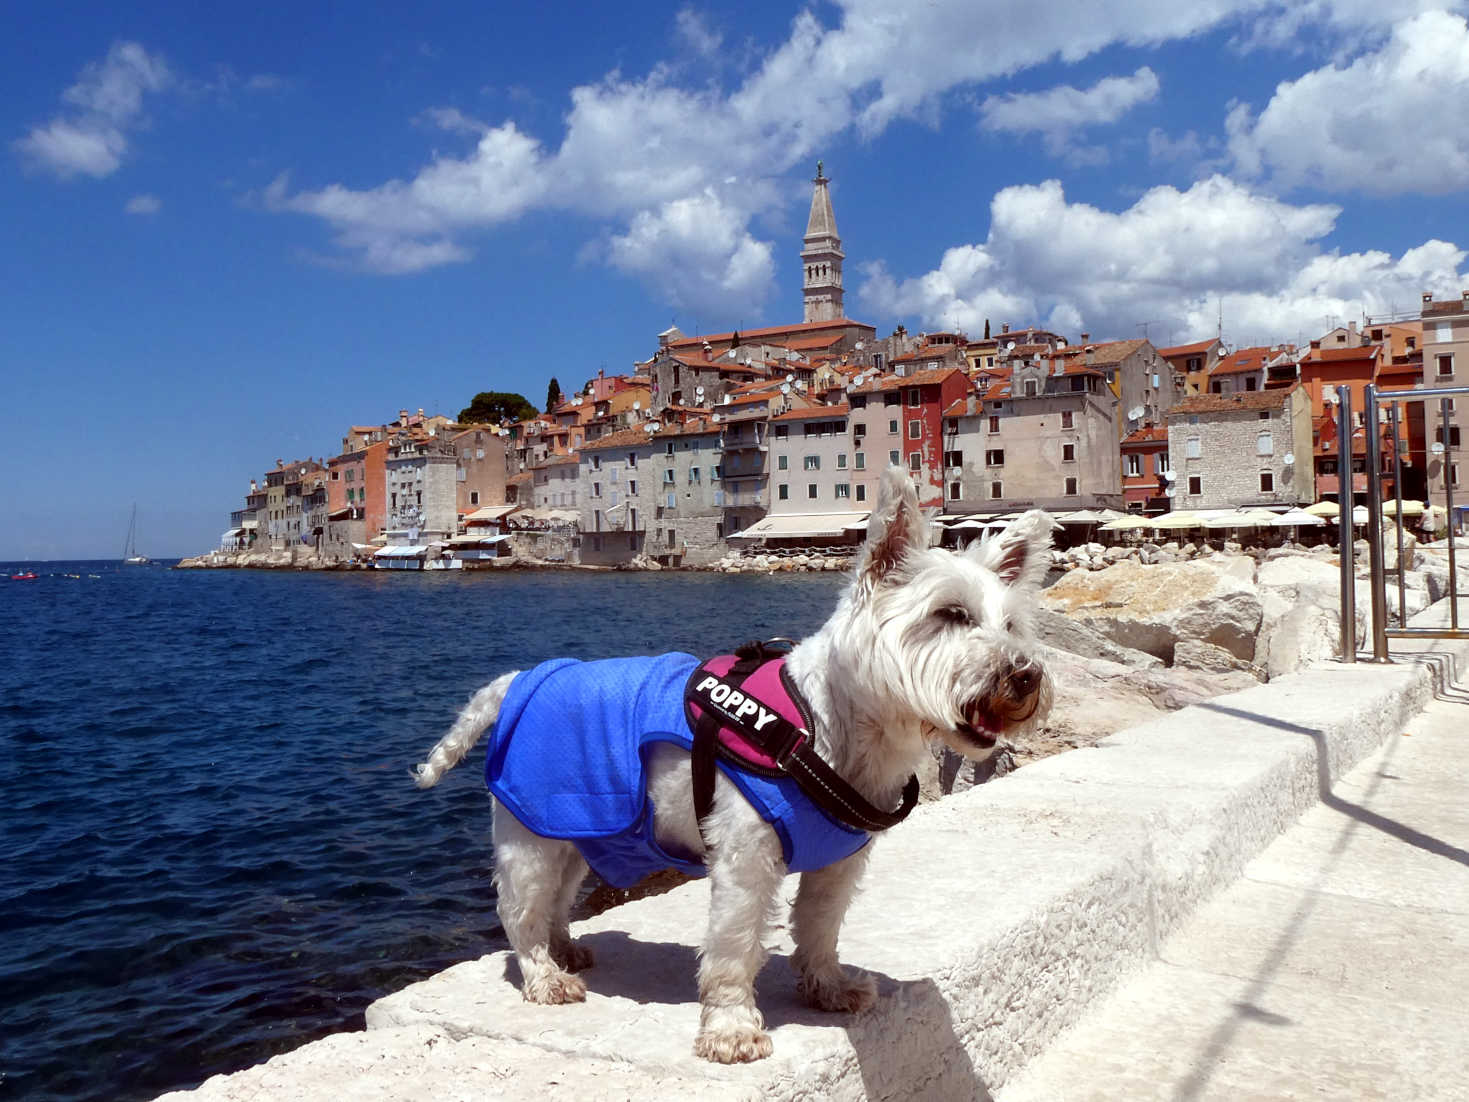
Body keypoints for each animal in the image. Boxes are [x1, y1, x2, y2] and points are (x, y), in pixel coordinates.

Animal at [417, 470, 1057, 1063]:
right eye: (950, 614)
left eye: (1011, 625)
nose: (1026, 675)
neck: (823, 727)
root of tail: (519, 681)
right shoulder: (746, 858)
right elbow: (734, 944)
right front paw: (731, 1031)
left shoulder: (839, 862)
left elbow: (820, 927)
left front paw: (828, 988)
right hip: (530, 833)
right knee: (520, 908)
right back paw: (546, 975)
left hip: (574, 831)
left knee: (556, 898)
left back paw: (565, 950)